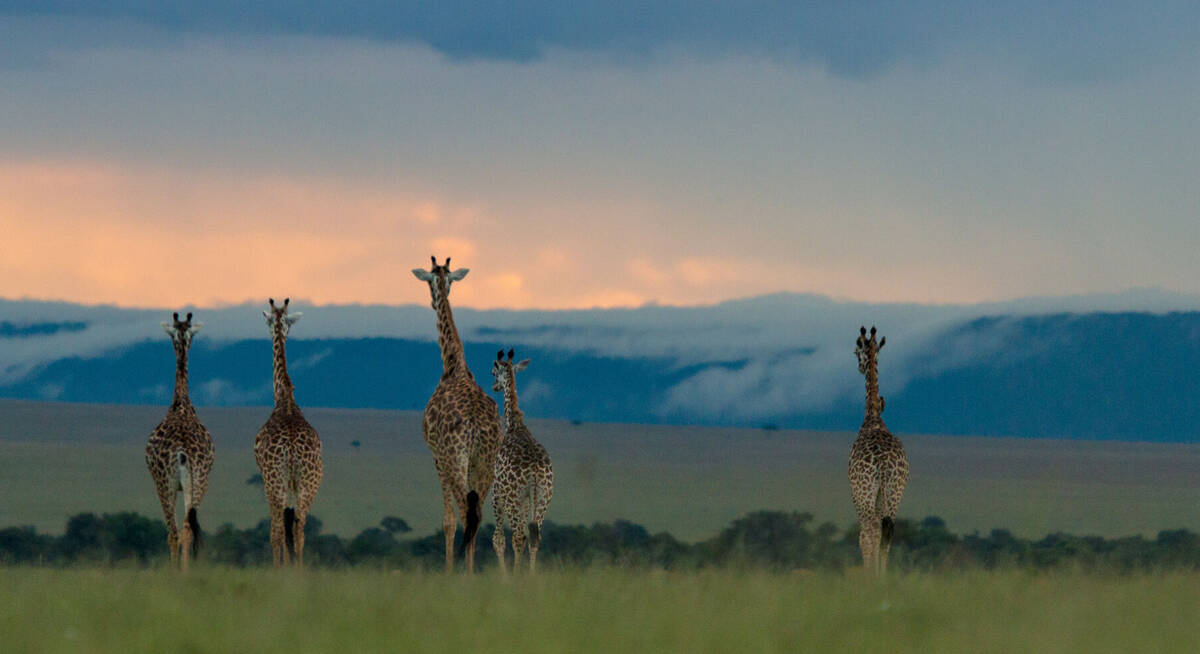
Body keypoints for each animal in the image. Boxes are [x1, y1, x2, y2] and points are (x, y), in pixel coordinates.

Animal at [144, 312, 213, 571]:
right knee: (187, 529)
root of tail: (183, 451)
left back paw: (176, 572)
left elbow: (169, 532)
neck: (181, 402)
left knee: (174, 531)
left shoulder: (161, 482)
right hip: (199, 482)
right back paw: (185, 571)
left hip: (167, 483)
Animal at [252, 297, 321, 566]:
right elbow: (293, 528)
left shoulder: (267, 480)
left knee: (278, 530)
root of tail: (291, 448)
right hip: (308, 483)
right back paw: (299, 570)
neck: (285, 398)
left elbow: (278, 531)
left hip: (275, 482)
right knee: (300, 527)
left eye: (268, 320)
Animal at [412, 254, 501, 571]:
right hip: (484, 461)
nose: (432, 301)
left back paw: (463, 573)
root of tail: (474, 426)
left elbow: (448, 521)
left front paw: (449, 570)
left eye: (428, 282)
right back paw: (470, 570)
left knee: (464, 510)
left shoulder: (437, 457)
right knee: (478, 513)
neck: (453, 365)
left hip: (456, 459)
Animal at [489, 350, 554, 573]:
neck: (513, 425)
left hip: (512, 498)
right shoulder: (527, 500)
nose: (494, 386)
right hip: (543, 496)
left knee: (518, 536)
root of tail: (534, 469)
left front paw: (505, 577)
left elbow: (498, 539)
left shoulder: (496, 492)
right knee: (534, 537)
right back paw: (531, 576)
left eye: (493, 372)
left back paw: (517, 576)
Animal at [844, 324, 907, 571]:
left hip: (865, 492)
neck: (872, 415)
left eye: (856, 351)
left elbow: (865, 535)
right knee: (887, 530)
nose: (860, 367)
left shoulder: (856, 494)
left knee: (869, 531)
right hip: (894, 491)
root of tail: (882, 462)